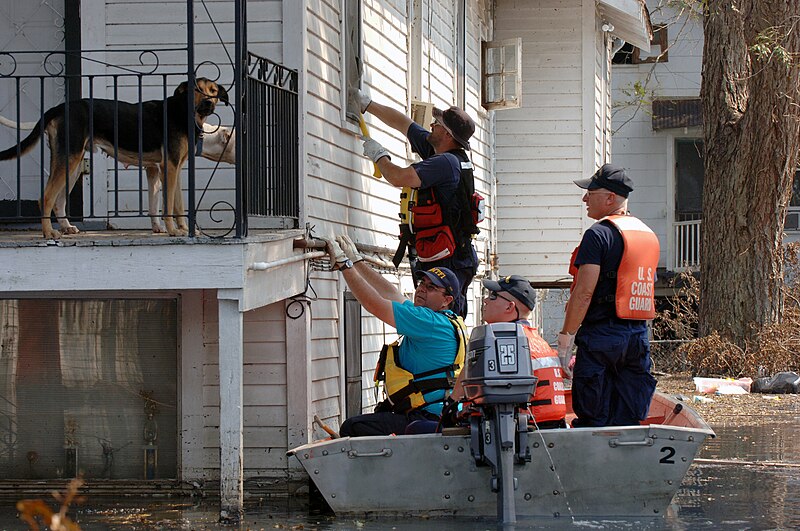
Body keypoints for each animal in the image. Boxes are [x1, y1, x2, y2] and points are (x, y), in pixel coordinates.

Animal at [0, 77, 228, 239]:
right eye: (197, 89)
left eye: (213, 91)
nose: (208, 103)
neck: (184, 111)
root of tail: (58, 108)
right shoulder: (169, 167)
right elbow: (169, 205)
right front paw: (173, 231)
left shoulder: (174, 168)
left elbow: (178, 205)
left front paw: (183, 229)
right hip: (68, 160)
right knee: (46, 197)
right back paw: (48, 233)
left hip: (72, 164)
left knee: (58, 200)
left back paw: (66, 227)